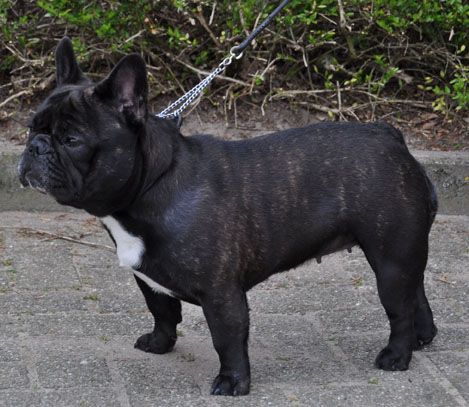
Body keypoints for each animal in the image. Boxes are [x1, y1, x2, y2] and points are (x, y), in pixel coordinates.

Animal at [18, 37, 438, 396]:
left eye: (72, 140)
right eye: (30, 128)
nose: (34, 148)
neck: (151, 186)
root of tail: (390, 137)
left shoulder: (221, 293)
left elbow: (228, 338)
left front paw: (233, 382)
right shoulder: (148, 279)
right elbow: (162, 311)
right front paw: (159, 343)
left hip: (389, 258)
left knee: (399, 307)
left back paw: (396, 355)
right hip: (403, 254)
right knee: (416, 290)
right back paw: (422, 337)